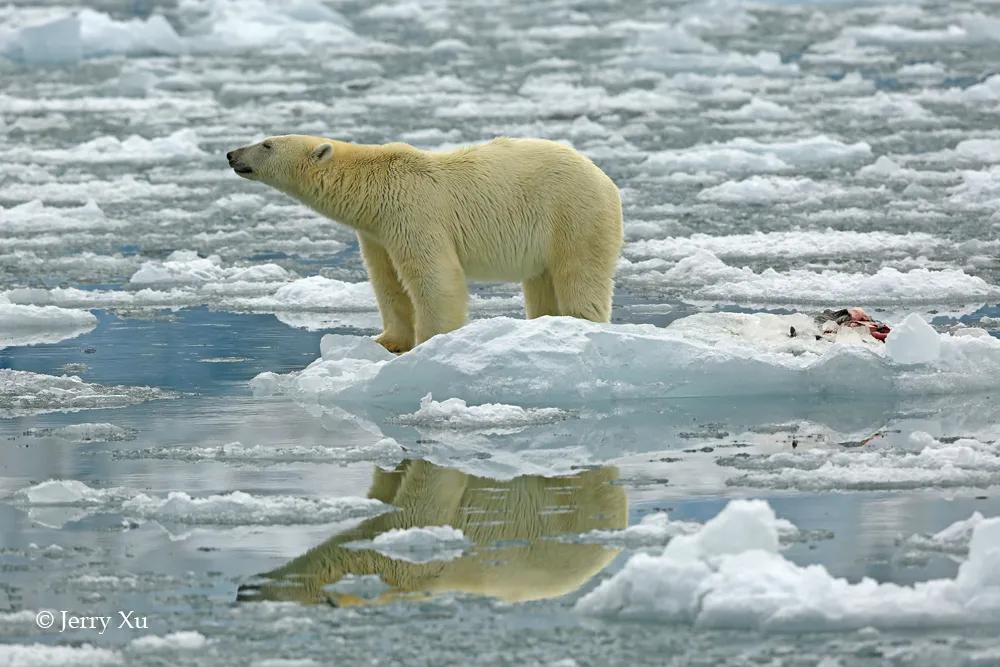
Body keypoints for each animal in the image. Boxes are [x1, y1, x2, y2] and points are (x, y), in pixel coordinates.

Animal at [227, 136, 620, 354]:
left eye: (267, 144)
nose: (231, 154)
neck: (374, 184)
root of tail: (606, 180)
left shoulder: (414, 211)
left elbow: (434, 278)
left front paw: (431, 341)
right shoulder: (376, 232)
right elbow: (387, 282)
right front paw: (387, 341)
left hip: (573, 215)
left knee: (579, 274)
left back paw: (579, 322)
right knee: (541, 283)